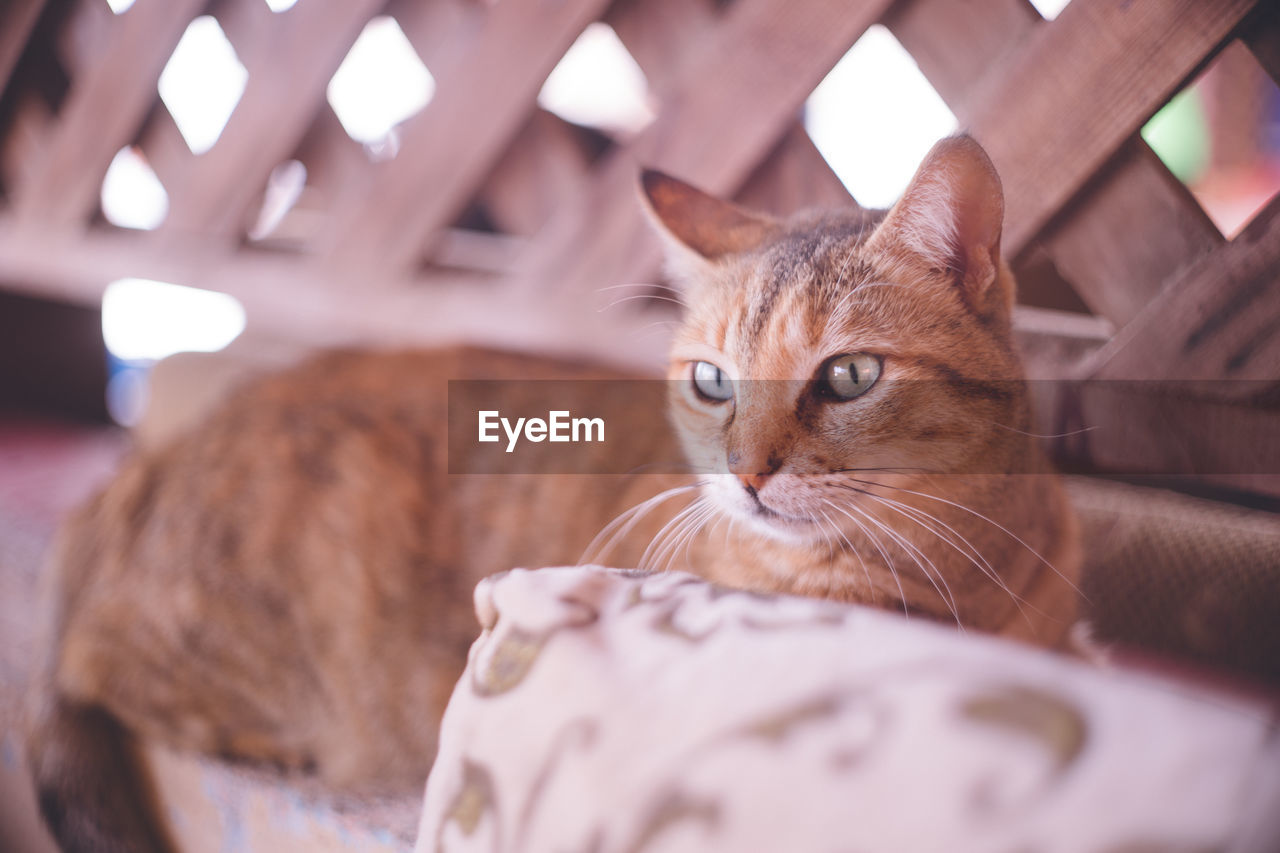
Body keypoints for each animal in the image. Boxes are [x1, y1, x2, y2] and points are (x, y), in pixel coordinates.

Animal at [24, 134, 1075, 850]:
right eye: (713, 381)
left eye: (850, 375)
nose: (746, 471)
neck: (948, 577)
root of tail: (138, 469)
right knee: (93, 668)